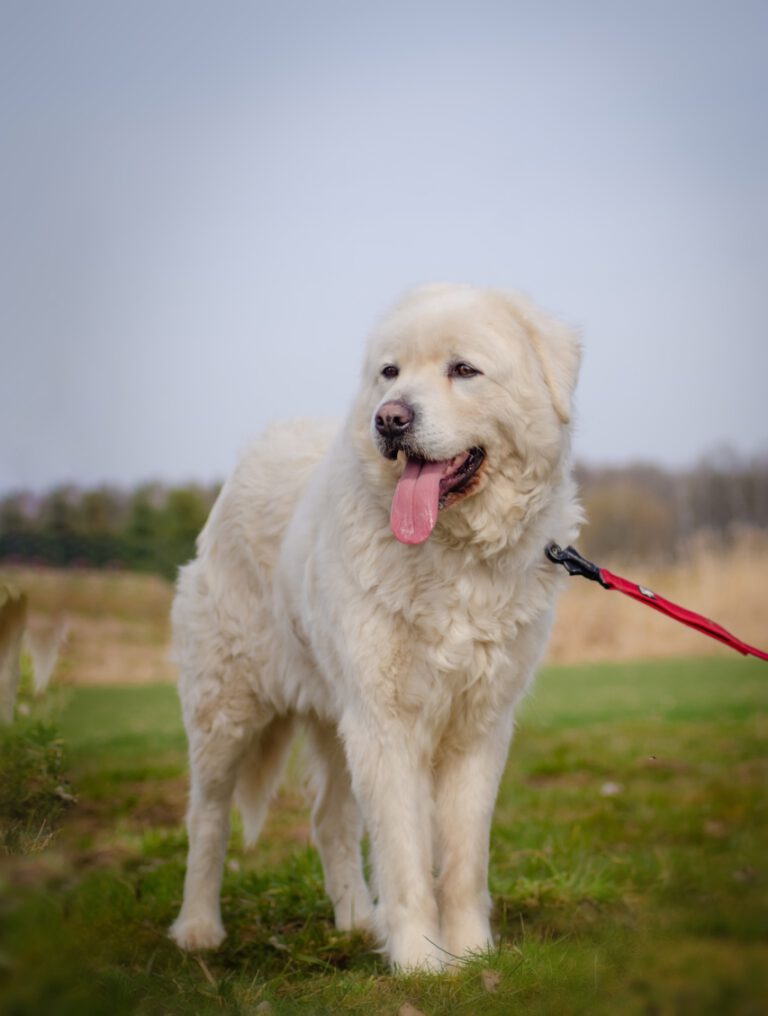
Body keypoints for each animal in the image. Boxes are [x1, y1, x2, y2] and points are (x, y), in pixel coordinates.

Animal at [169, 284, 581, 967]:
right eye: (390, 372)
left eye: (463, 369)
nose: (390, 419)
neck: (453, 555)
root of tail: (257, 448)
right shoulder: (385, 727)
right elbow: (407, 855)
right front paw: (420, 961)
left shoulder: (477, 727)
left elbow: (464, 859)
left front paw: (471, 953)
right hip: (227, 709)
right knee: (207, 818)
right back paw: (199, 928)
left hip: (336, 720)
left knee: (329, 821)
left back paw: (357, 921)